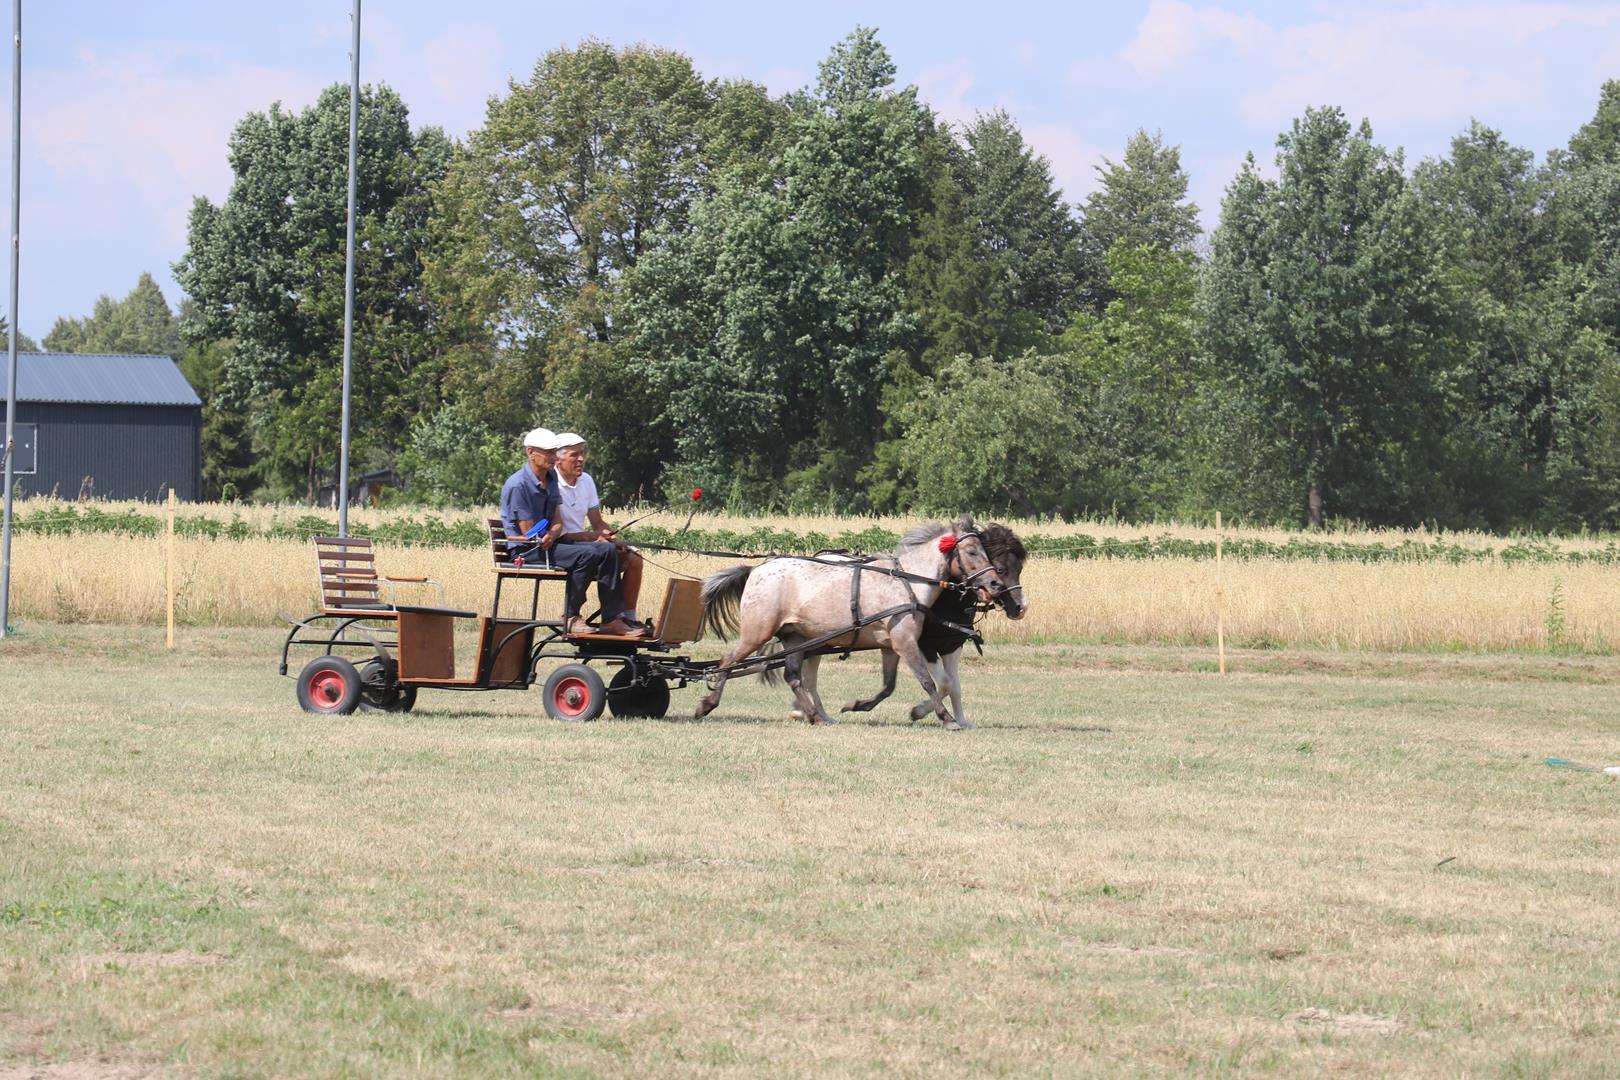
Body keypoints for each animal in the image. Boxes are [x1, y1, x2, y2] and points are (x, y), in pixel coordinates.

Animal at [694, 516, 1026, 729]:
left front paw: (857, 705)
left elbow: (890, 686)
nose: (995, 585)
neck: (908, 581)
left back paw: (816, 715)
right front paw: (946, 719)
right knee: (727, 661)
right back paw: (708, 704)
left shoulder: (892, 646)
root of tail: (755, 570)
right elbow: (929, 682)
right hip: (757, 632)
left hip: (796, 639)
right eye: (972, 551)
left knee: (795, 677)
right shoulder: (909, 643)